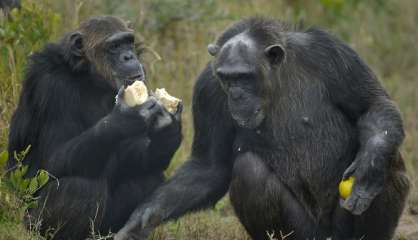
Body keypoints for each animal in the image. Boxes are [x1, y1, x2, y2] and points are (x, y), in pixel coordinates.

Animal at [5, 15, 180, 239]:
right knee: (80, 187)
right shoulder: (52, 87)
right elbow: (52, 158)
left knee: (146, 176)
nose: (129, 56)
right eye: (114, 46)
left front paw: (167, 135)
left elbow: (132, 154)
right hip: (30, 223)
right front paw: (125, 118)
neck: (90, 77)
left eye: (129, 42)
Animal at [116, 18, 410, 240]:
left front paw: (370, 165)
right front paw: (142, 219)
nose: (236, 95)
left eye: (244, 77)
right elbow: (209, 166)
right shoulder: (207, 88)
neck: (275, 79)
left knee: (389, 158)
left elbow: (372, 105)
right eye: (226, 78)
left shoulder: (333, 53)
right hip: (307, 233)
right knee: (250, 171)